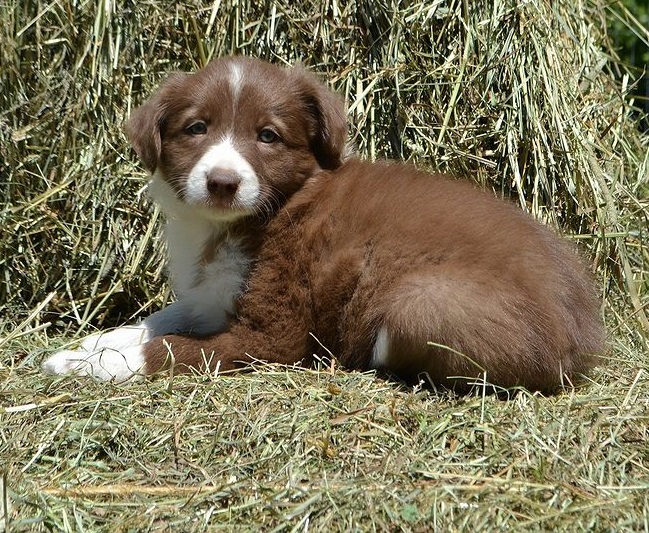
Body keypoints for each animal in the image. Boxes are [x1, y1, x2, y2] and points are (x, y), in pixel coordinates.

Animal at [44, 56, 604, 392]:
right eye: (196, 128)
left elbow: (169, 349)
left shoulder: (274, 338)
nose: (223, 182)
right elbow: (158, 319)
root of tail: (586, 333)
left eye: (268, 136)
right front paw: (92, 343)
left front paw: (91, 365)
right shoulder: (213, 296)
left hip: (419, 303)